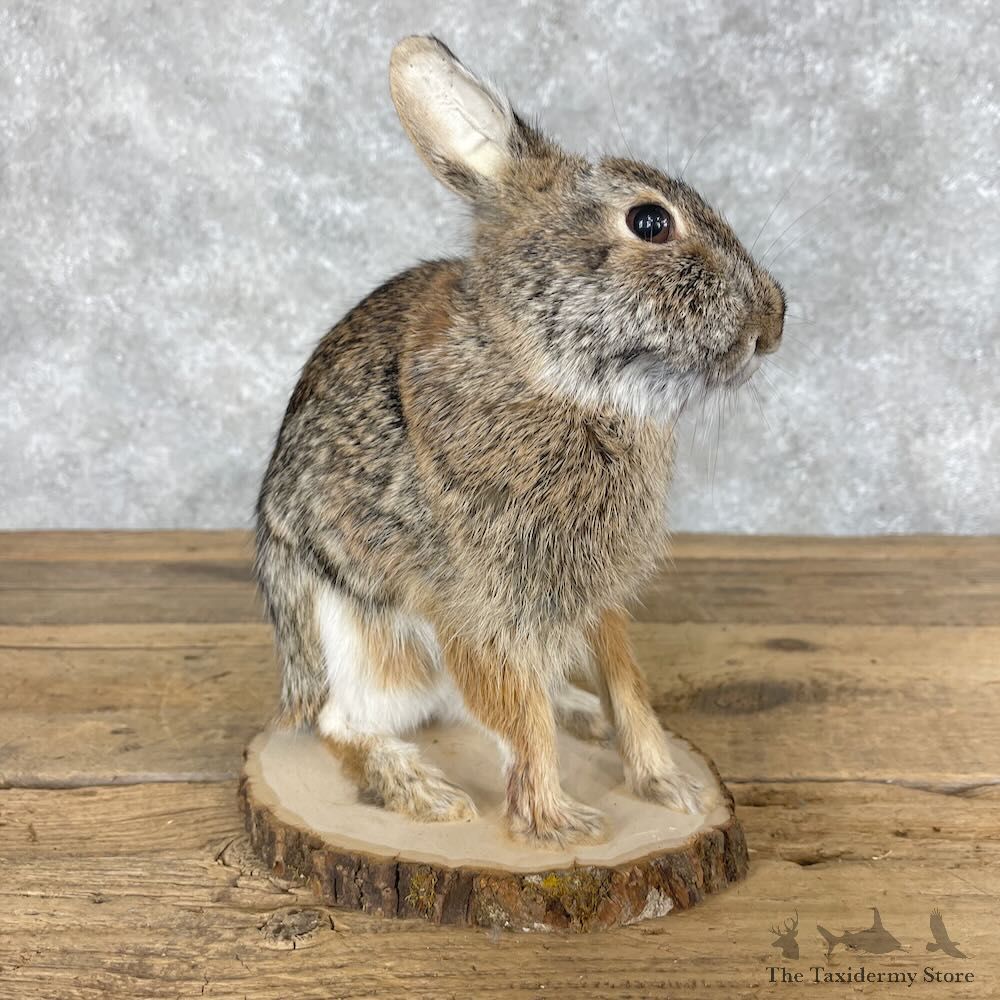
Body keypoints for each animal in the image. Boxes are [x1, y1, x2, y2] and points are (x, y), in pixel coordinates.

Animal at [254, 35, 784, 847]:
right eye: (650, 223)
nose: (774, 321)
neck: (552, 373)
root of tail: (295, 678)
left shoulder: (592, 596)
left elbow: (627, 684)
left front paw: (668, 786)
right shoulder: (481, 605)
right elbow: (518, 718)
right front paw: (560, 824)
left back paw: (577, 713)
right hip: (369, 644)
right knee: (344, 724)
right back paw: (426, 792)